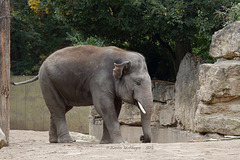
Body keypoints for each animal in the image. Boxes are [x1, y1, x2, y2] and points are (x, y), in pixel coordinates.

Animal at [11, 45, 153, 144]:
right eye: (138, 82)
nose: (141, 138)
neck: (122, 54)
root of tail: (40, 69)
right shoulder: (99, 80)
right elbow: (104, 106)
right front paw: (121, 142)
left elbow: (115, 107)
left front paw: (106, 143)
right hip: (47, 82)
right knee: (58, 108)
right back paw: (67, 141)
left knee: (60, 109)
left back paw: (54, 141)